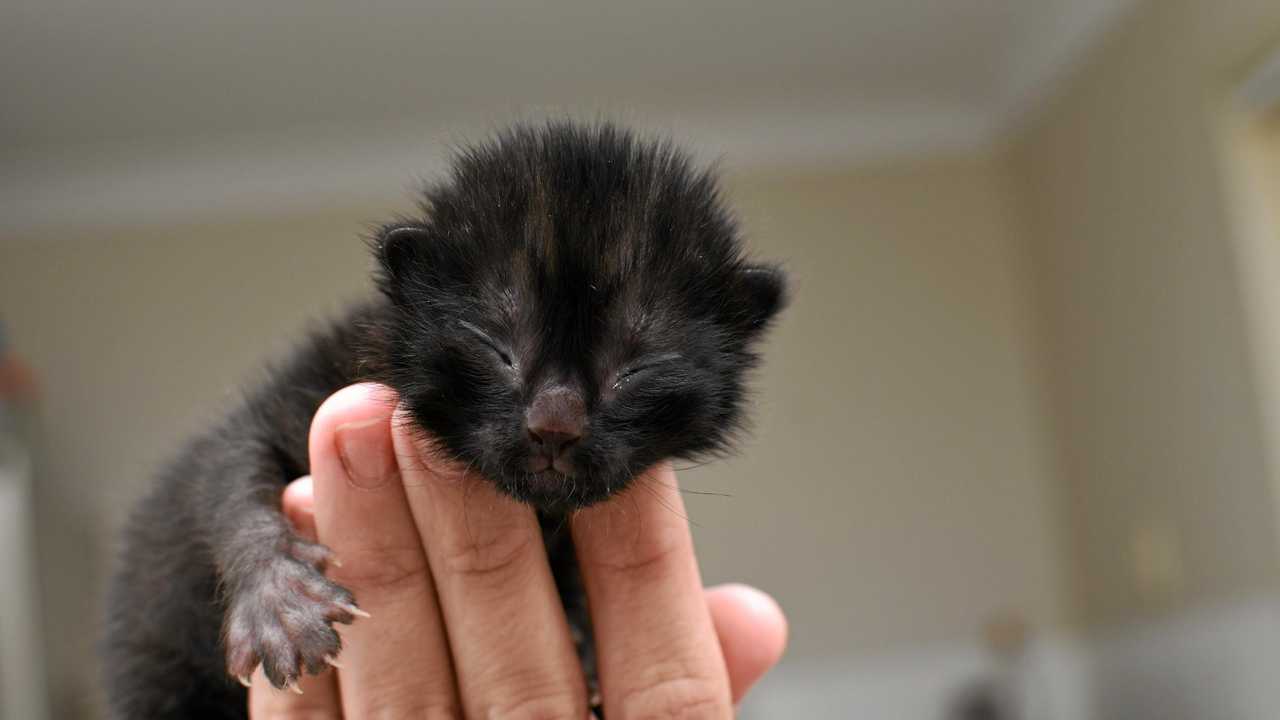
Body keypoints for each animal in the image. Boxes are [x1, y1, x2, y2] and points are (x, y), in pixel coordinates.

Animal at [102, 120, 788, 712]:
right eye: (496, 346)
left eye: (636, 368)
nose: (554, 425)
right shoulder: (302, 383)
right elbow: (227, 469)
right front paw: (278, 598)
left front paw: (582, 632)